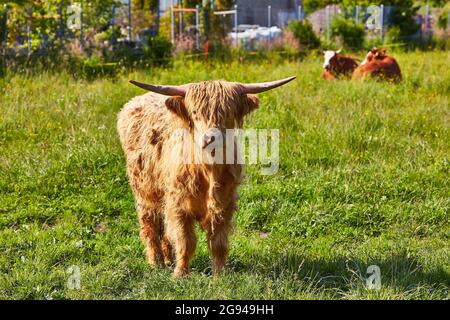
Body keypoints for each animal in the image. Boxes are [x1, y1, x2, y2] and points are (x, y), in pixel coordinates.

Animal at [118, 76, 298, 276]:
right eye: (195, 113)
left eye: (227, 113)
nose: (211, 139)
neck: (208, 173)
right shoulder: (178, 204)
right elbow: (185, 241)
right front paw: (180, 274)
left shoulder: (224, 204)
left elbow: (218, 243)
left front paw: (219, 276)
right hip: (144, 191)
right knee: (149, 225)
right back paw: (155, 262)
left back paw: (167, 260)